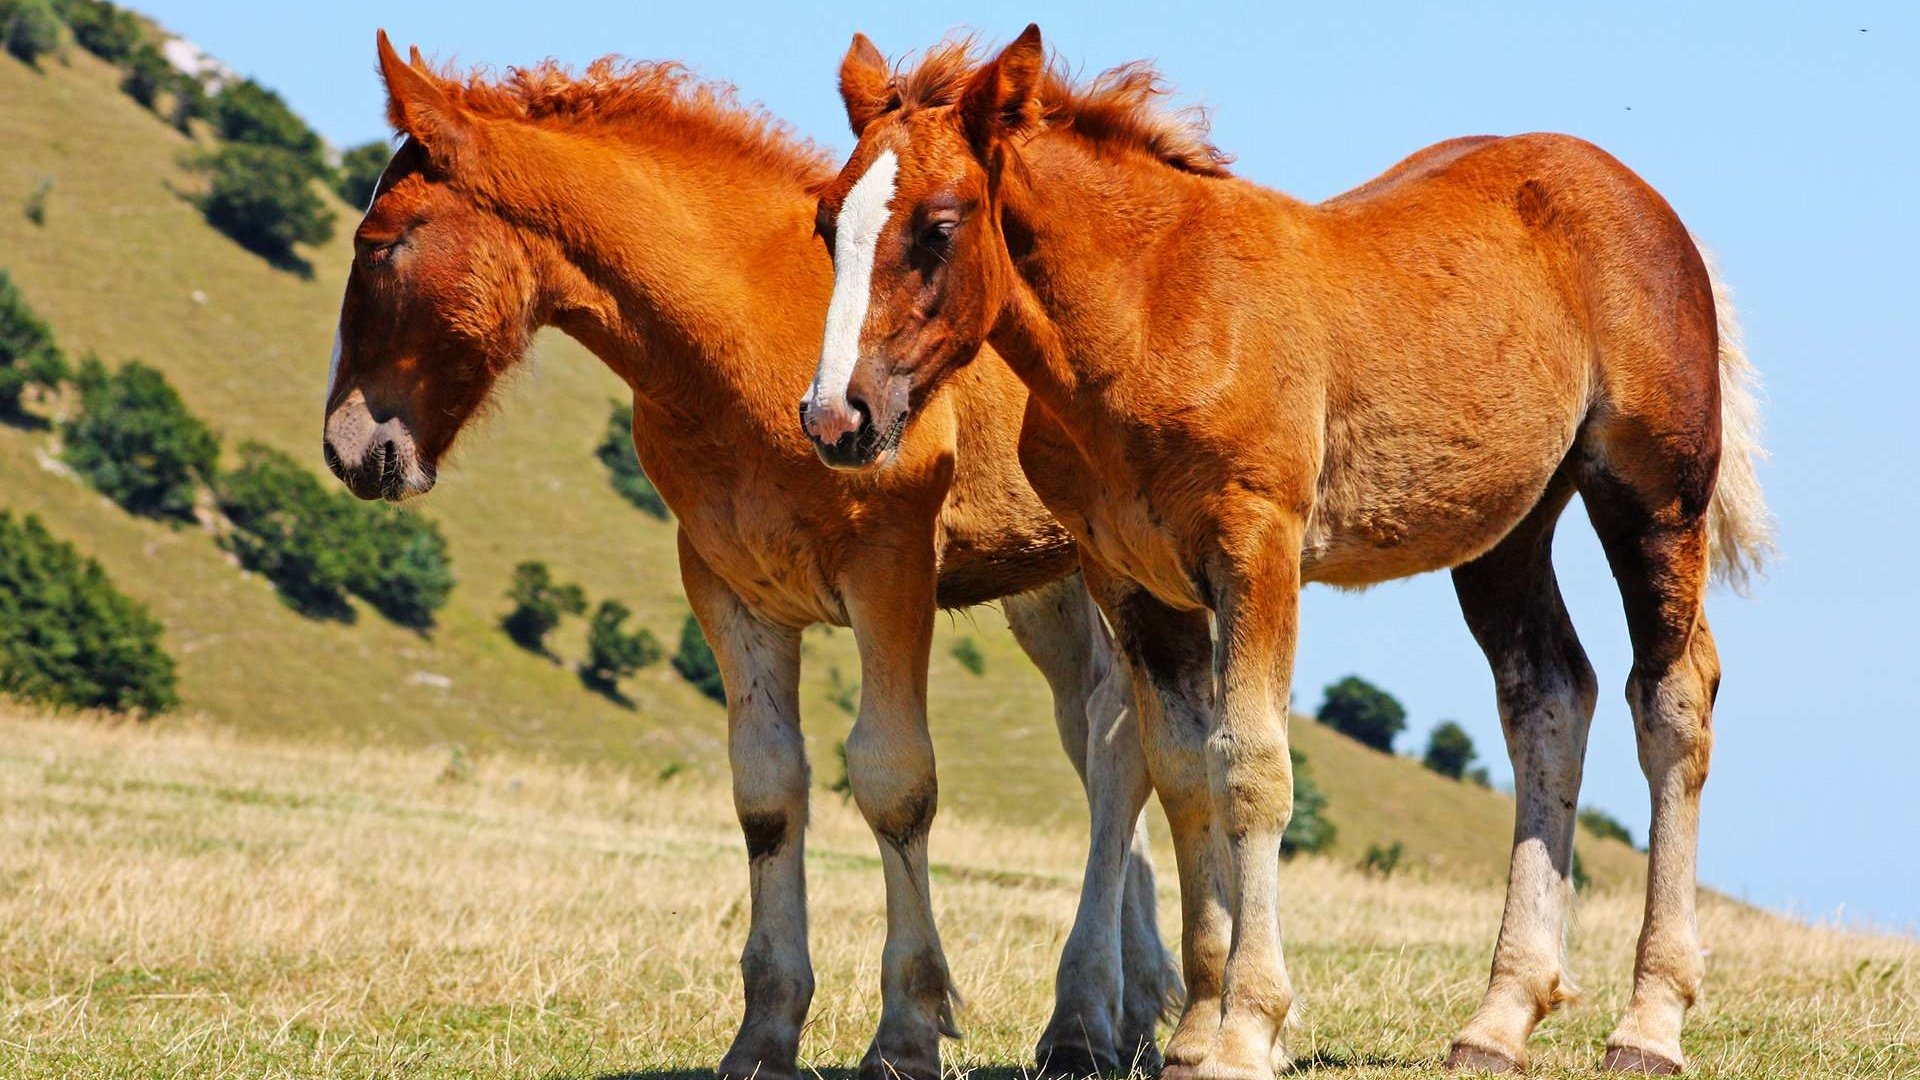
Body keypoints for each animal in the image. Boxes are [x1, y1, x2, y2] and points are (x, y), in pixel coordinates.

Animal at [318, 31, 1182, 1076]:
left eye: (378, 243)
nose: (348, 449)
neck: (745, 339)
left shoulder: (891, 571)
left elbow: (894, 782)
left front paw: (905, 1031)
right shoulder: (728, 585)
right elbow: (767, 791)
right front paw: (764, 1033)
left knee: (1119, 747)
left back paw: (1082, 1019)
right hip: (1046, 591)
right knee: (1096, 734)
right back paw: (1129, 1012)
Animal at [802, 25, 1774, 1076]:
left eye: (938, 226)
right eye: (825, 223)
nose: (836, 416)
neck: (1152, 314)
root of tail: (1645, 200)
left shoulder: (1256, 549)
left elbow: (1252, 769)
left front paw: (1247, 1027)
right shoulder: (1133, 580)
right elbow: (1183, 773)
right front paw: (1194, 1030)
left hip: (1652, 494)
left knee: (1671, 698)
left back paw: (1652, 1022)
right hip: (1505, 527)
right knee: (1550, 695)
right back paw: (1499, 1019)